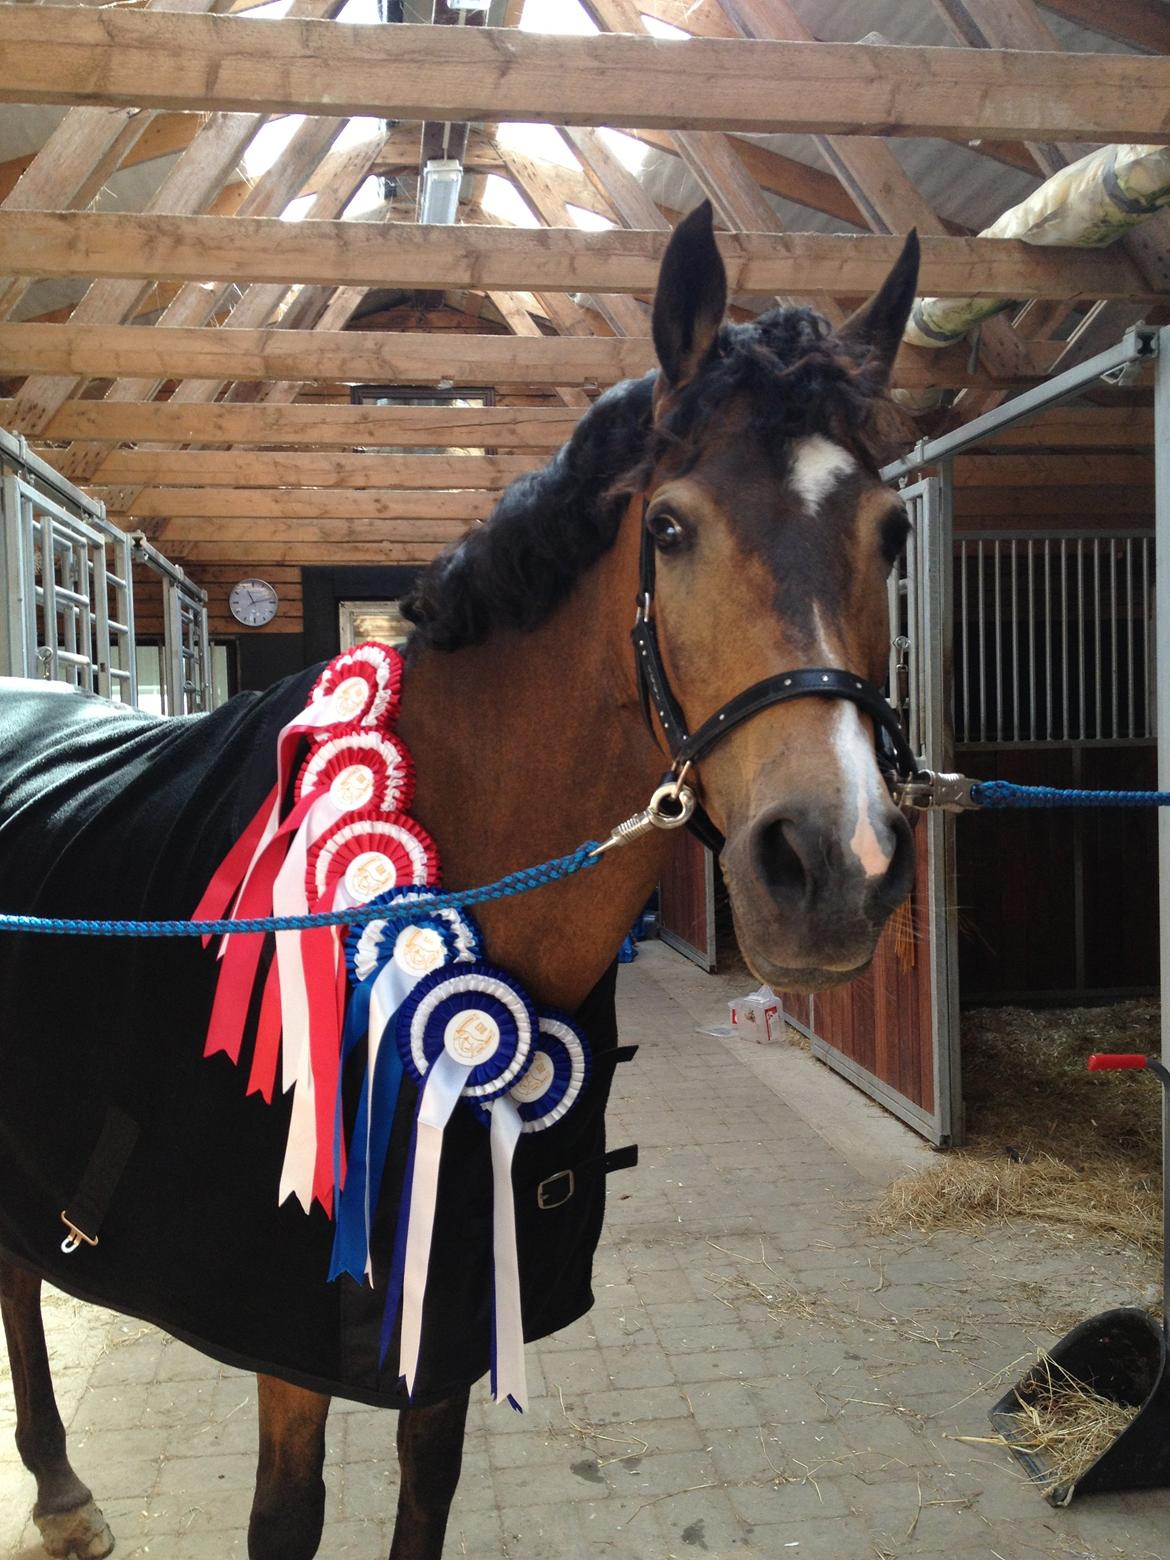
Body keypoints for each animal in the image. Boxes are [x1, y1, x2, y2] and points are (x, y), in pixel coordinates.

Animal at [0, 201, 920, 1560]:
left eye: (894, 532)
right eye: (670, 528)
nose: (832, 867)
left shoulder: (457, 1291)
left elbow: (425, 1486)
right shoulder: (293, 1315)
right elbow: (287, 1517)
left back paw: (61, 1487)